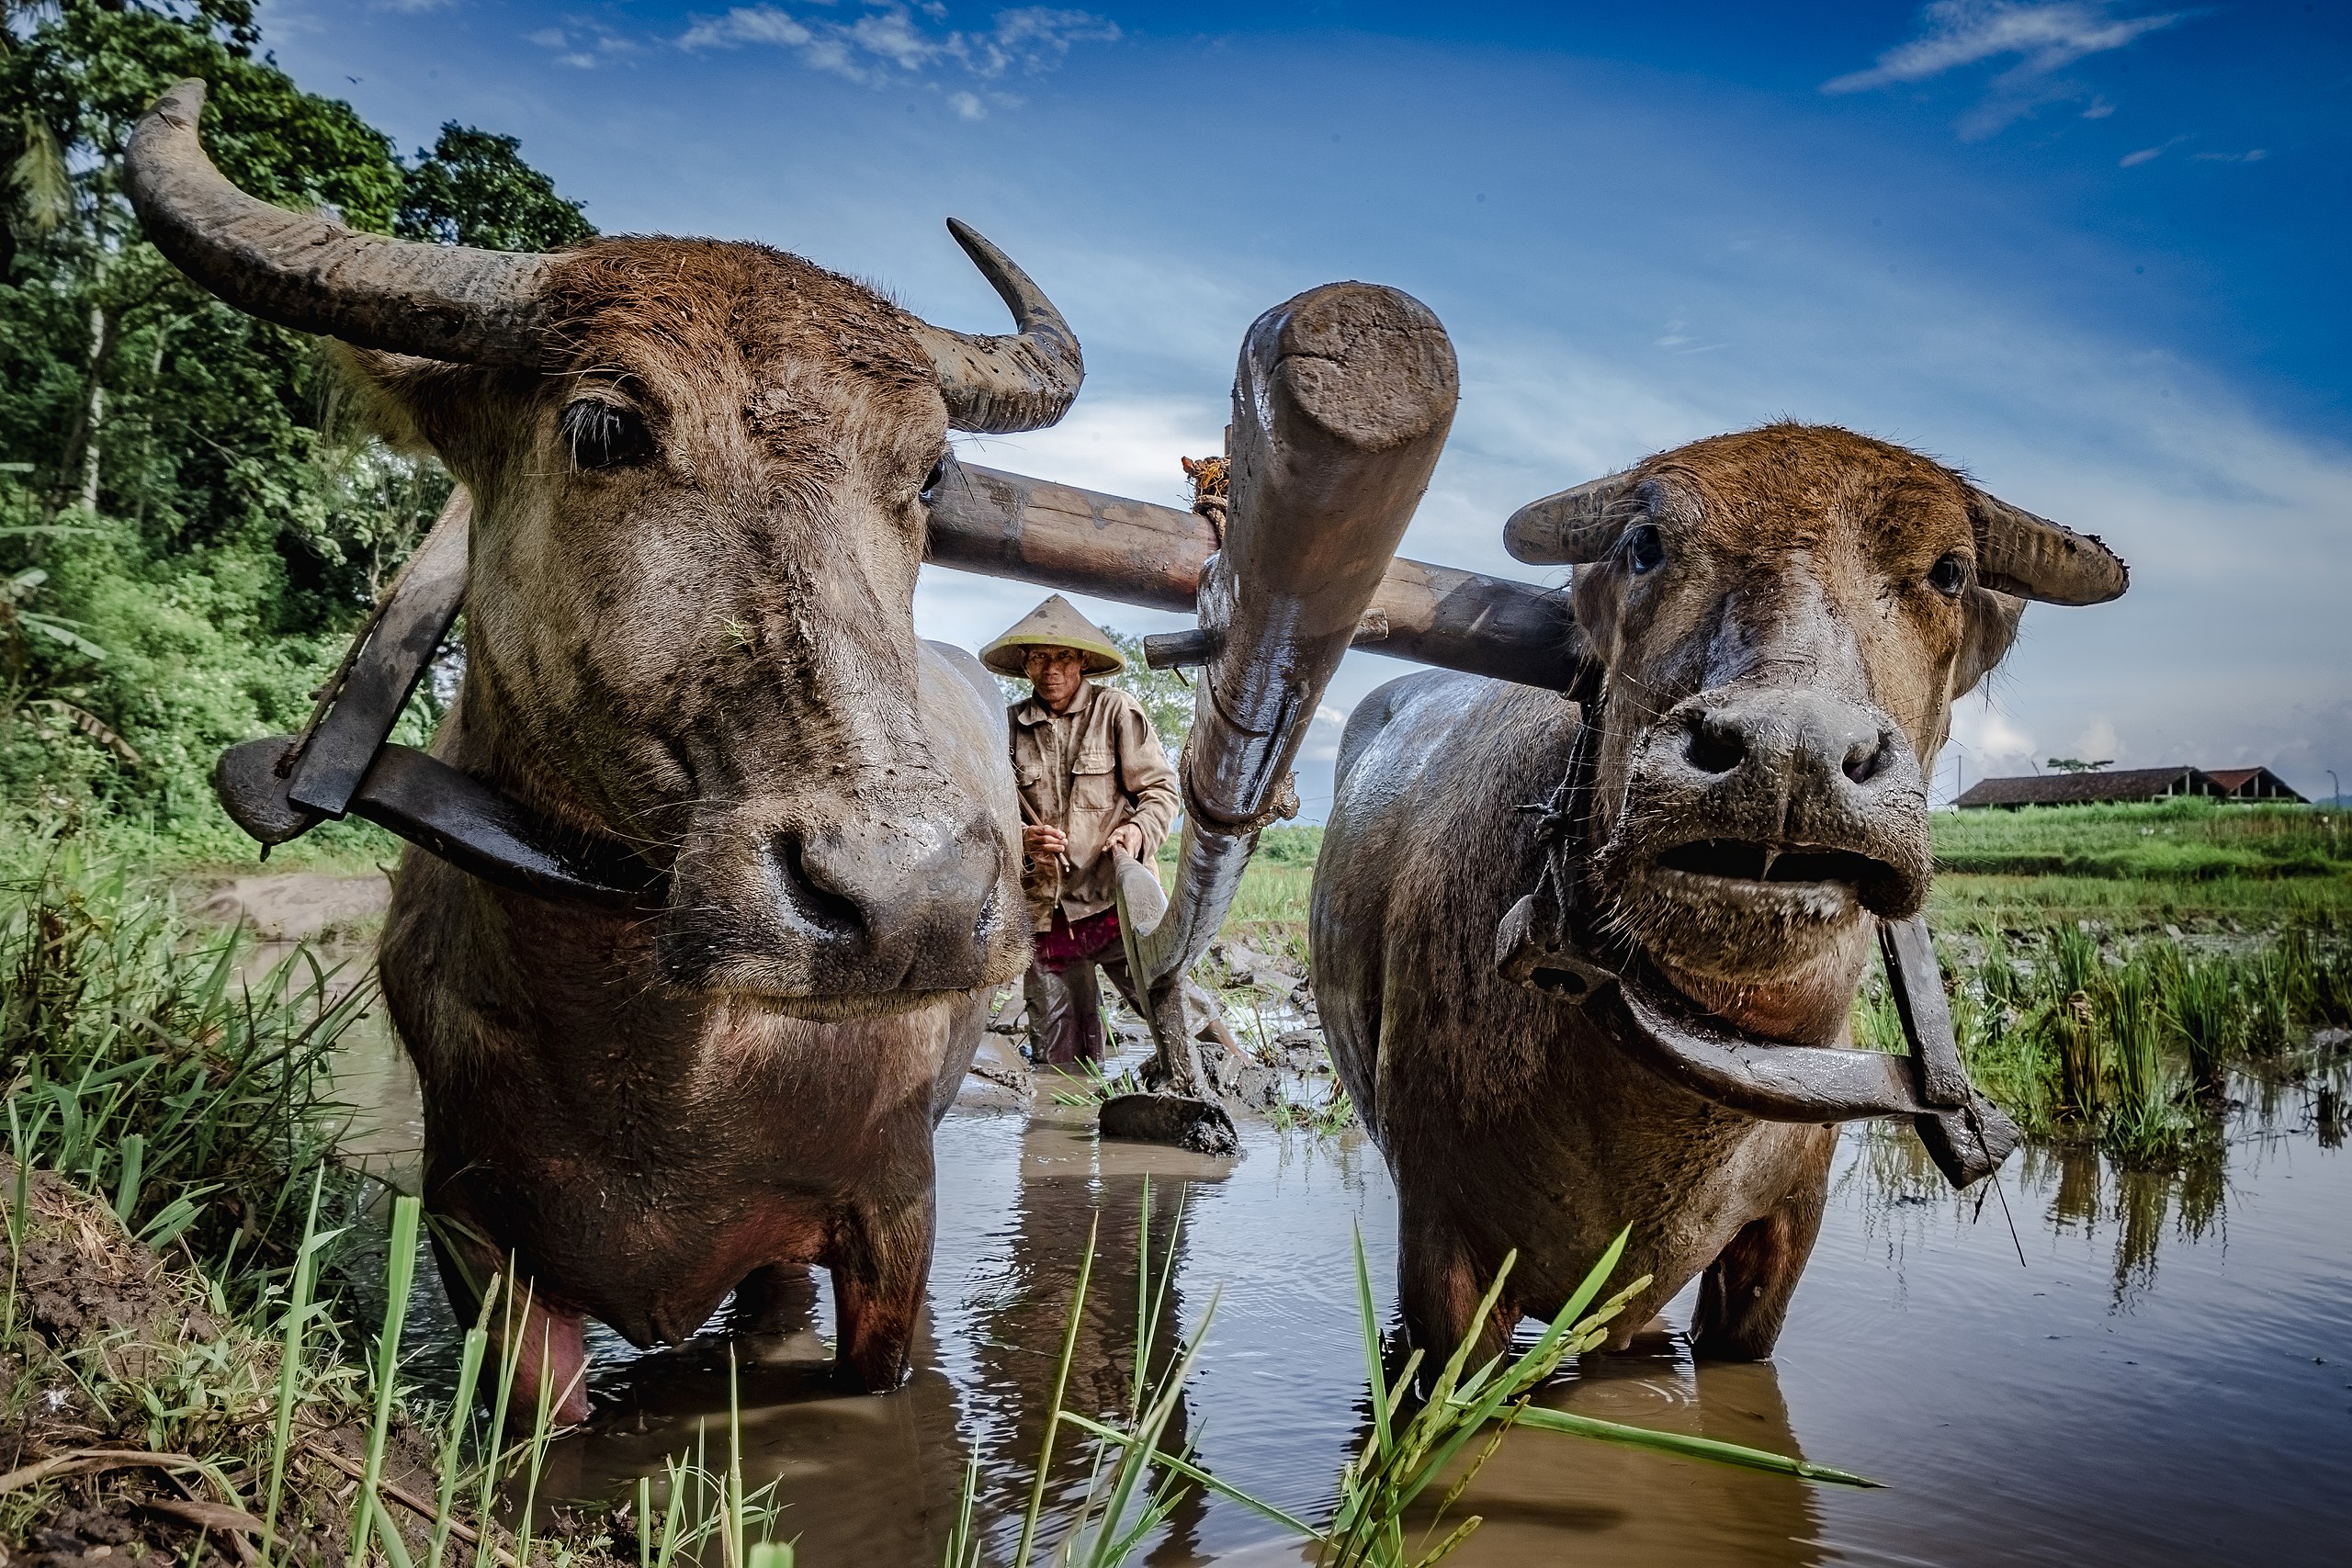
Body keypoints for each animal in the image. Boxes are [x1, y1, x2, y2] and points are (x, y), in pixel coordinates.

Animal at [126, 80, 1081, 1419]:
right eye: (599, 427)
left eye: (931, 467)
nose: (911, 903)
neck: (666, 1062)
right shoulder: (478, 1238)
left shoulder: (896, 1213)